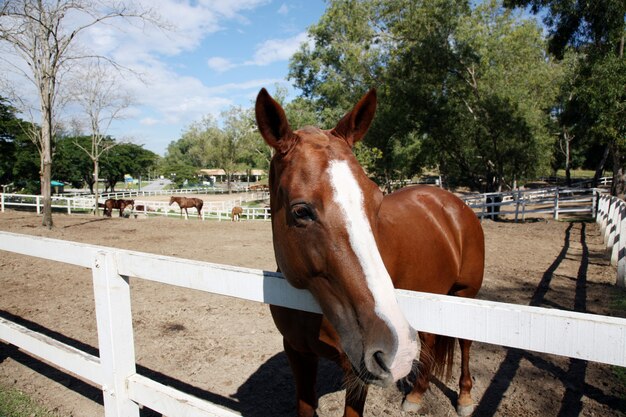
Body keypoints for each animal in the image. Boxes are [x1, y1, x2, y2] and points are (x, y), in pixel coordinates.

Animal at [254, 88, 482, 416]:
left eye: (377, 200)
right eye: (301, 211)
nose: (396, 351)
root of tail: (452, 201)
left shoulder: (356, 370)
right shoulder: (298, 353)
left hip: (466, 294)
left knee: (464, 343)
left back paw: (464, 397)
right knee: (429, 341)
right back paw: (416, 394)